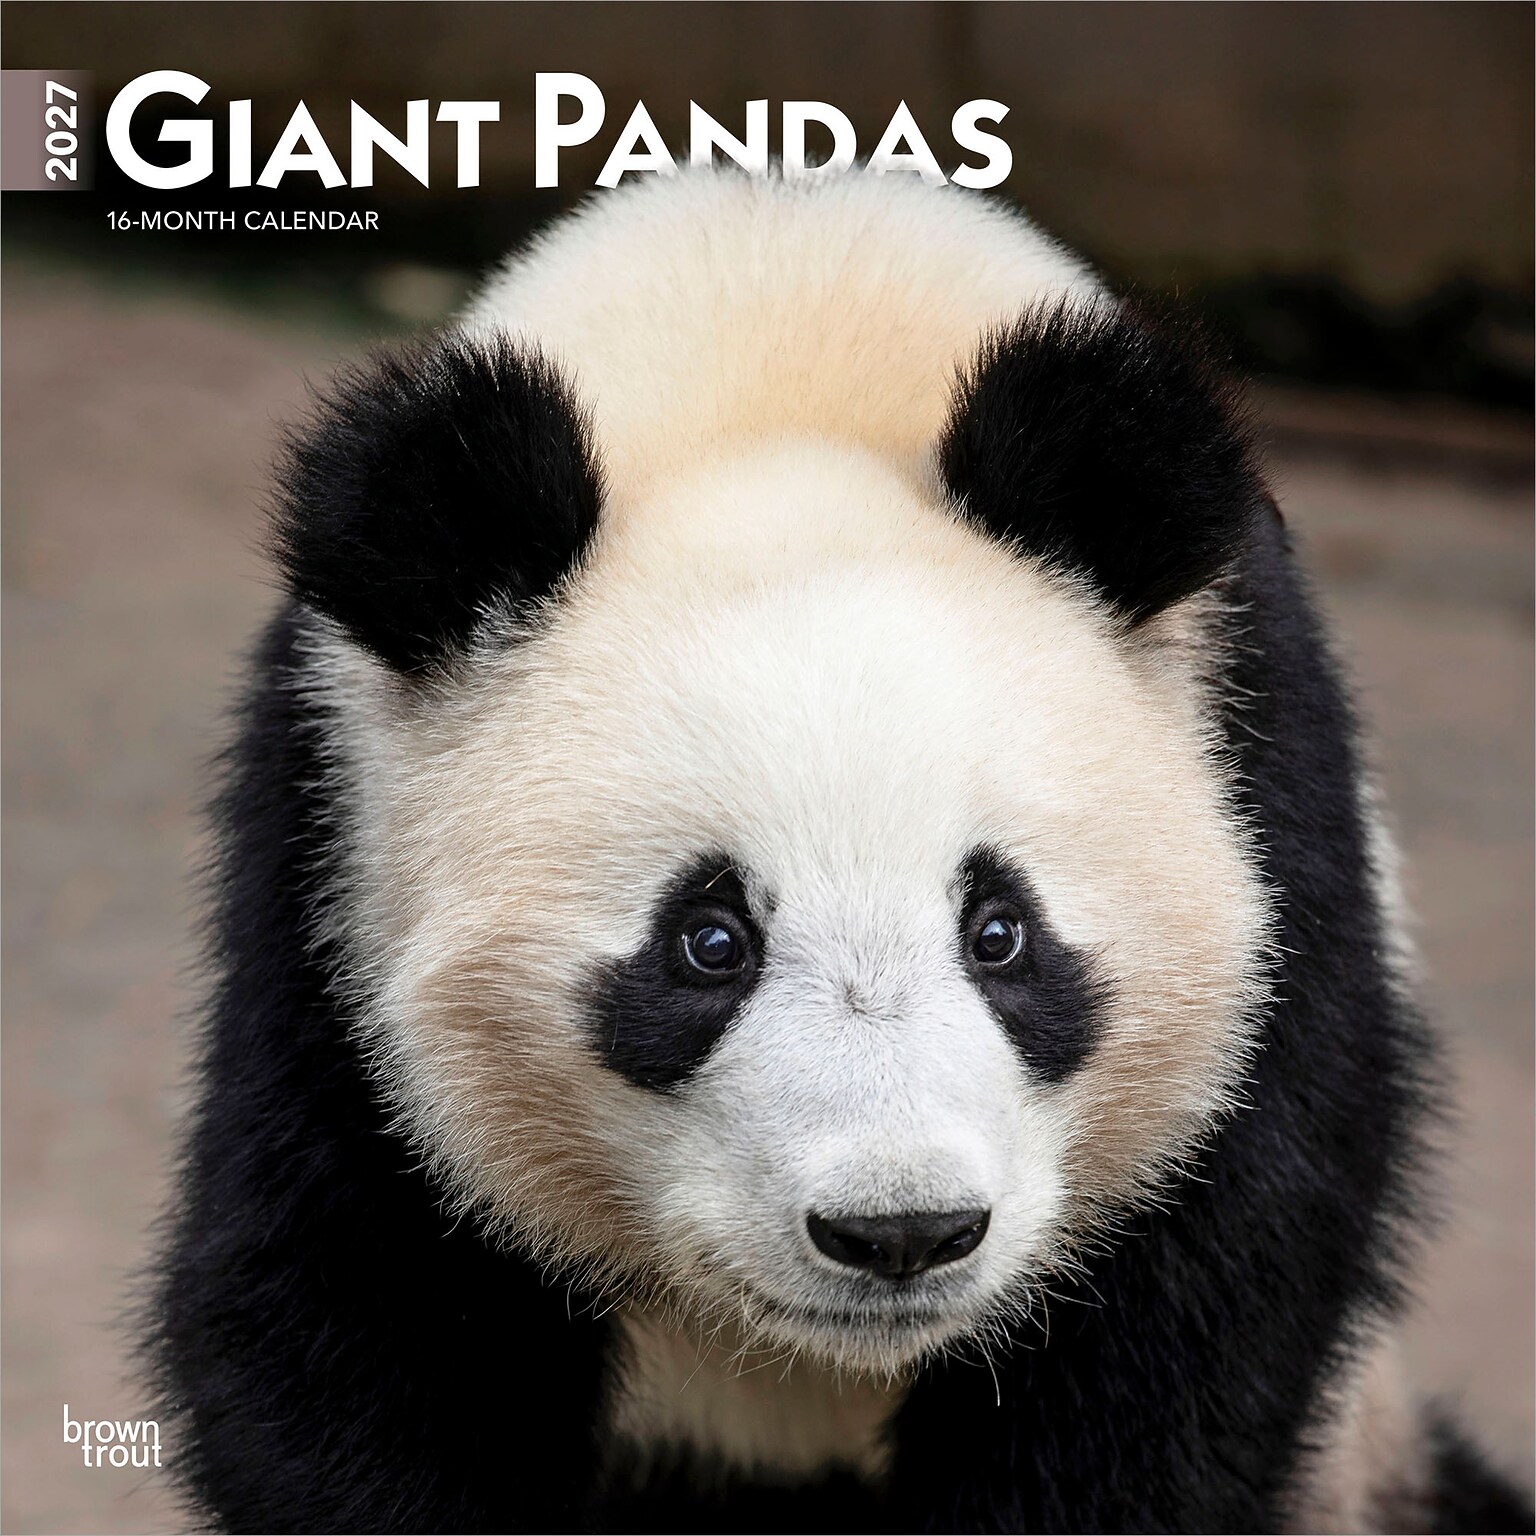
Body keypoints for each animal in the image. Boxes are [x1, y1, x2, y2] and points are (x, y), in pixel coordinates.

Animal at [147, 167, 1532, 1534]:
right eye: (708, 943)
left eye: (1000, 931)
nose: (902, 1232)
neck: (782, 342)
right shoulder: (333, 857)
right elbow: (337, 1308)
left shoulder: (1265, 790)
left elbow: (1190, 1323)